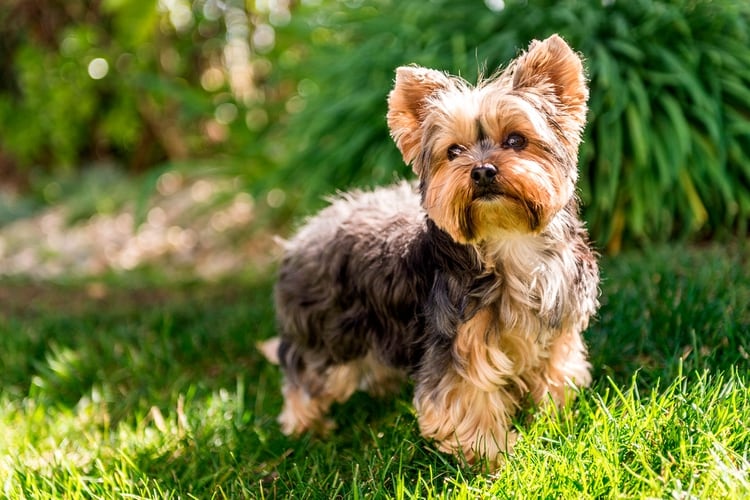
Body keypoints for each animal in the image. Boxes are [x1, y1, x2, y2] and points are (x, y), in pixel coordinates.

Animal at [262, 35, 604, 468]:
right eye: (454, 151)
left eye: (515, 140)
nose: (482, 170)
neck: (508, 241)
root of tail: (301, 236)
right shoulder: (456, 342)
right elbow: (467, 398)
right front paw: (491, 457)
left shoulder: (557, 327)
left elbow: (555, 370)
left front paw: (553, 418)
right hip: (327, 332)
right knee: (304, 372)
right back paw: (305, 427)